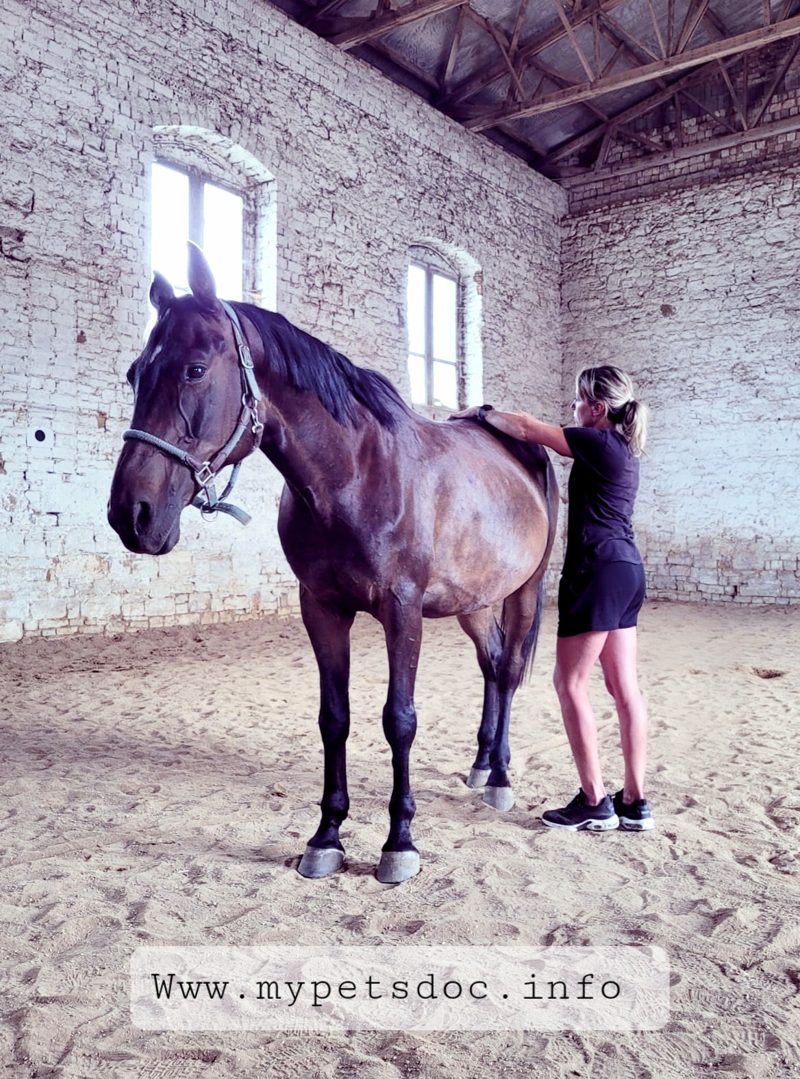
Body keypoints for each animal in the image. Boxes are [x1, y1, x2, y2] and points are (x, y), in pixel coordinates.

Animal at [108, 243, 558, 883]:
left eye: (194, 370)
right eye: (134, 374)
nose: (131, 513)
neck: (354, 473)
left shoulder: (402, 610)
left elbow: (400, 719)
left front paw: (400, 842)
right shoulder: (320, 609)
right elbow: (334, 719)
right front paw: (326, 835)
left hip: (525, 590)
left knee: (513, 668)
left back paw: (498, 776)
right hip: (473, 599)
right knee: (493, 666)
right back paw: (479, 765)